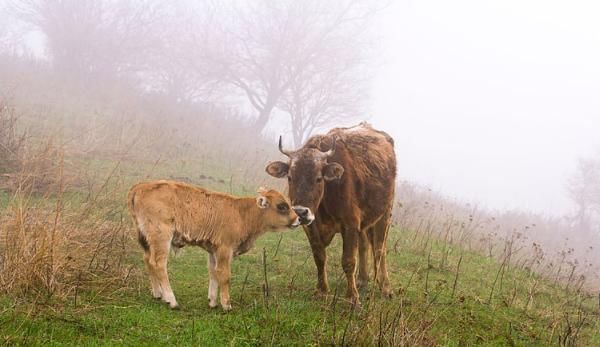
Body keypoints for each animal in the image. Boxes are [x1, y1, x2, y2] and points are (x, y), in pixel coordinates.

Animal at [127, 181, 300, 312]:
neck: (242, 213)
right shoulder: (225, 249)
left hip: (147, 240)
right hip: (161, 238)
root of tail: (141, 186)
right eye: (282, 206)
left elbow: (213, 273)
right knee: (158, 264)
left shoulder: (213, 251)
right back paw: (172, 300)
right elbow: (224, 275)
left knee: (148, 260)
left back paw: (158, 294)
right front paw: (226, 305)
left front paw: (212, 301)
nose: (298, 218)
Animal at [264, 123, 396, 308]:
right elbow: (319, 257)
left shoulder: (350, 223)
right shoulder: (311, 226)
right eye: (290, 177)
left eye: (319, 178)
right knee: (364, 245)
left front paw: (353, 299)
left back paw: (386, 288)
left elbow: (348, 261)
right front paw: (322, 291)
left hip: (385, 213)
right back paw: (362, 281)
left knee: (379, 248)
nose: (300, 212)